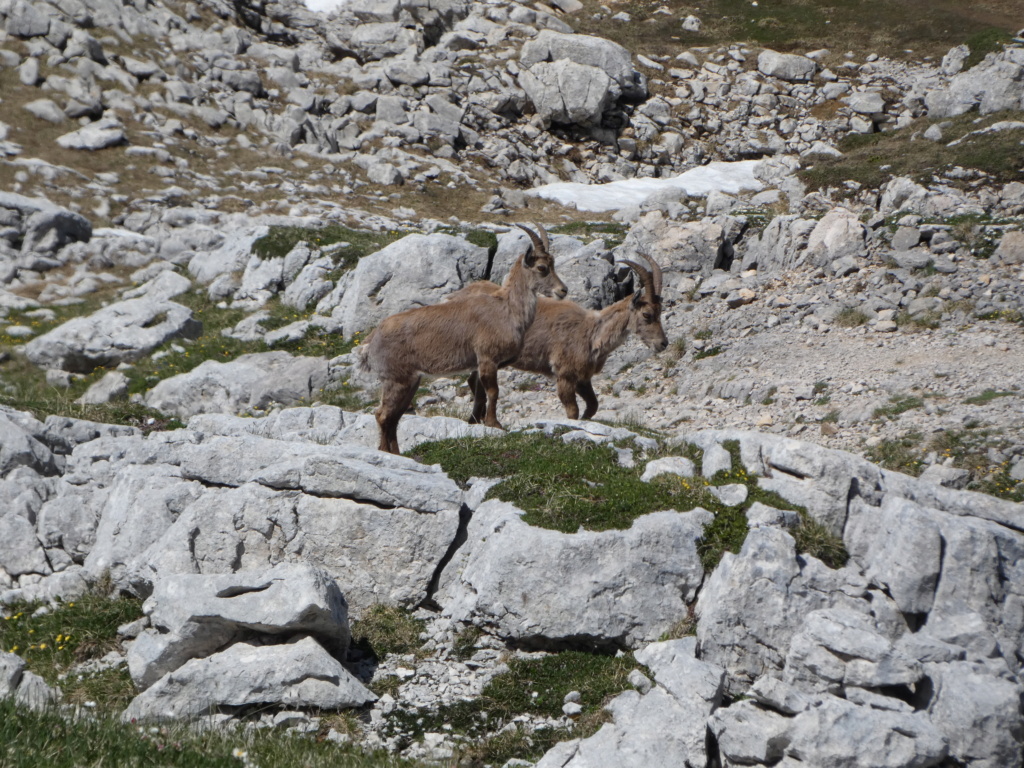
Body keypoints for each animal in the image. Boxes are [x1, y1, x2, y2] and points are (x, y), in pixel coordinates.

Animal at [360, 222, 569, 454]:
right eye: (541, 267)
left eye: (553, 264)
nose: (563, 290)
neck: (507, 309)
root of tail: (370, 341)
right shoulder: (487, 358)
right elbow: (493, 392)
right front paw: (494, 423)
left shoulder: (480, 365)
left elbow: (480, 394)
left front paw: (478, 422)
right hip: (397, 379)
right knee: (382, 415)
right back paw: (386, 452)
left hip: (410, 381)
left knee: (393, 418)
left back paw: (395, 453)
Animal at [454, 252, 663, 421]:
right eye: (646, 314)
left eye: (660, 311)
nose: (663, 343)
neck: (591, 334)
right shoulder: (564, 375)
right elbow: (573, 411)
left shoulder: (583, 379)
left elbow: (593, 406)